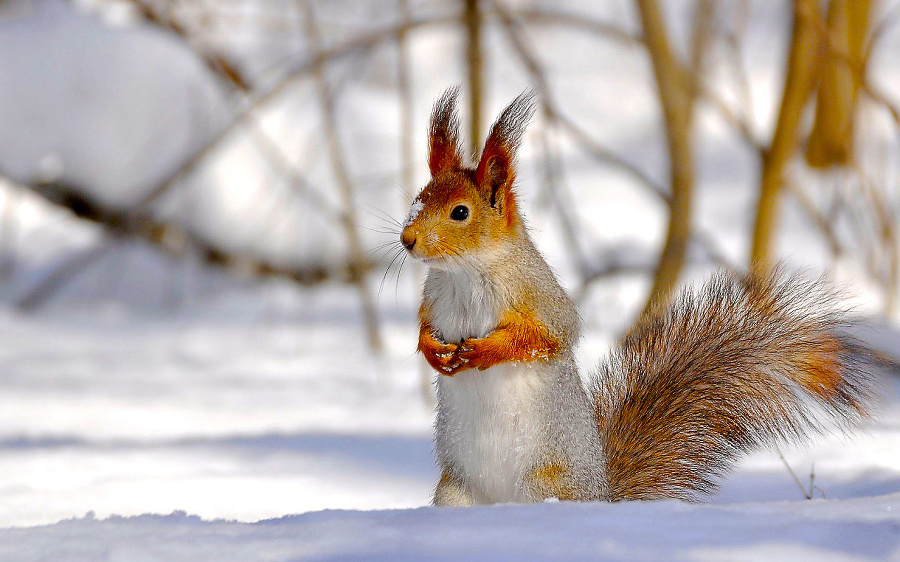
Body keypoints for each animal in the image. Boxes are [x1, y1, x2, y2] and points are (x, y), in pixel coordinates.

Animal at [402, 87, 880, 504]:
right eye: (418, 198)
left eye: (460, 212)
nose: (407, 240)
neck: (465, 273)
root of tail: (602, 495)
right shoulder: (434, 297)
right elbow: (425, 326)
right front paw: (432, 350)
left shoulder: (540, 297)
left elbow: (547, 337)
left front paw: (484, 351)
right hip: (455, 492)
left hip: (544, 483)